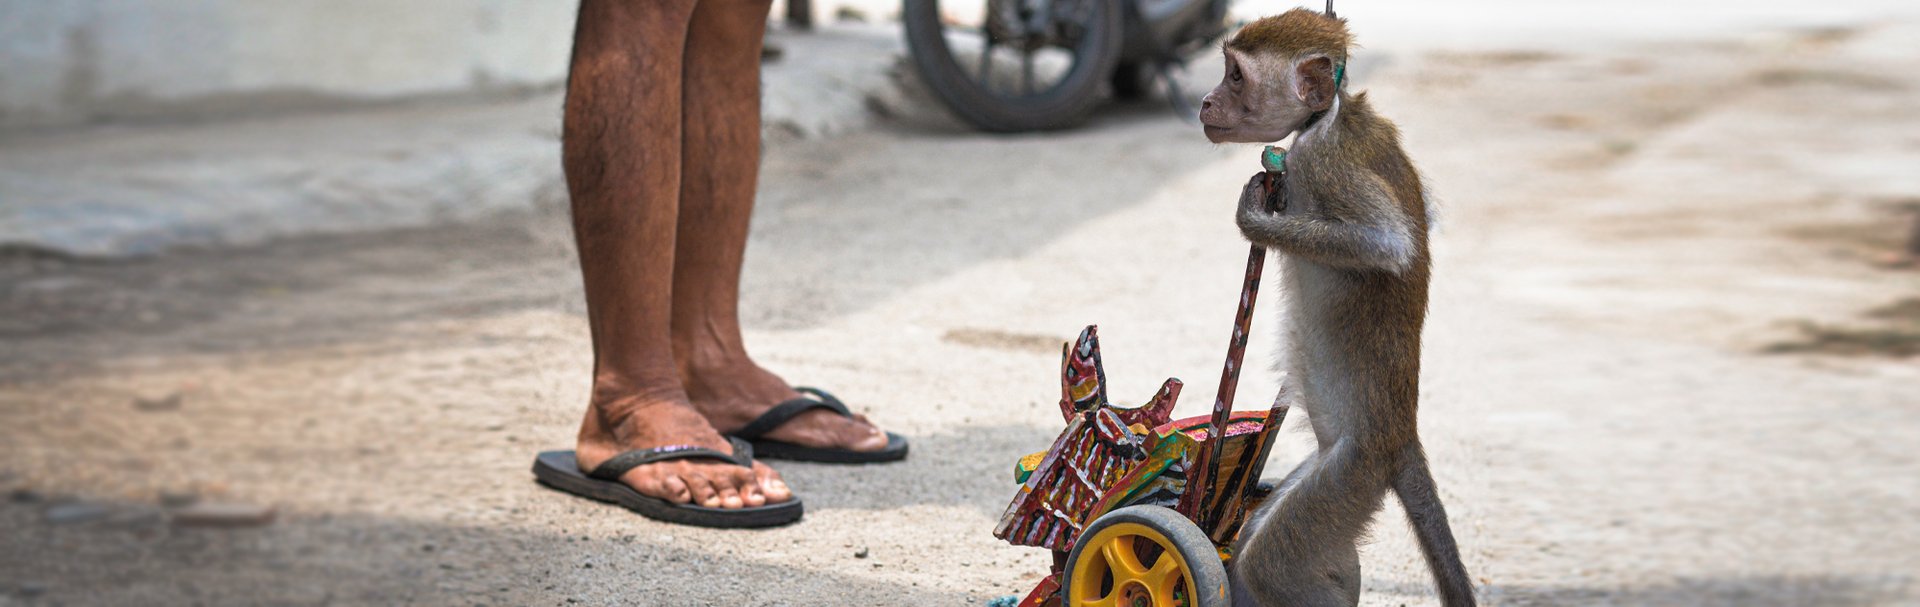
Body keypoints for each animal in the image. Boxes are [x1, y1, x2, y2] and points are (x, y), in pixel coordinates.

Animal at [1198, 8, 1476, 607]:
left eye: (1235, 76)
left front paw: (1256, 217)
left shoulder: (1321, 163)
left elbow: (1387, 245)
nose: (1205, 100)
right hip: (1332, 475)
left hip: (1352, 472)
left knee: (1268, 564)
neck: (1326, 118)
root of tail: (1400, 435)